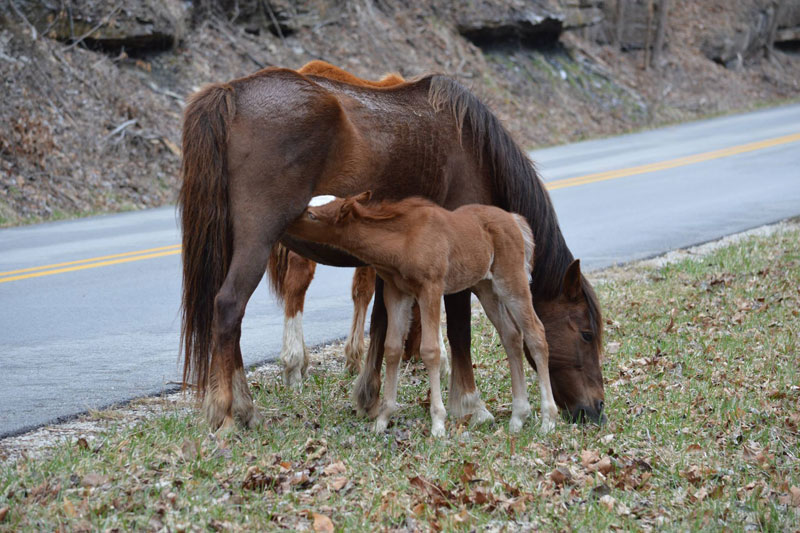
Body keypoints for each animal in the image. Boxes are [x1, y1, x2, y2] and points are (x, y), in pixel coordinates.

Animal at [286, 193, 556, 434]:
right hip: (486, 287)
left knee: (536, 333)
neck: (402, 240)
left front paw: (438, 423)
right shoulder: (396, 292)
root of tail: (515, 220)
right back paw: (518, 417)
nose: (285, 225)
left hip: (511, 280)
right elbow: (392, 348)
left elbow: (430, 350)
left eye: (312, 215)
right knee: (511, 336)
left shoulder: (431, 288)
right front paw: (383, 419)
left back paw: (548, 420)